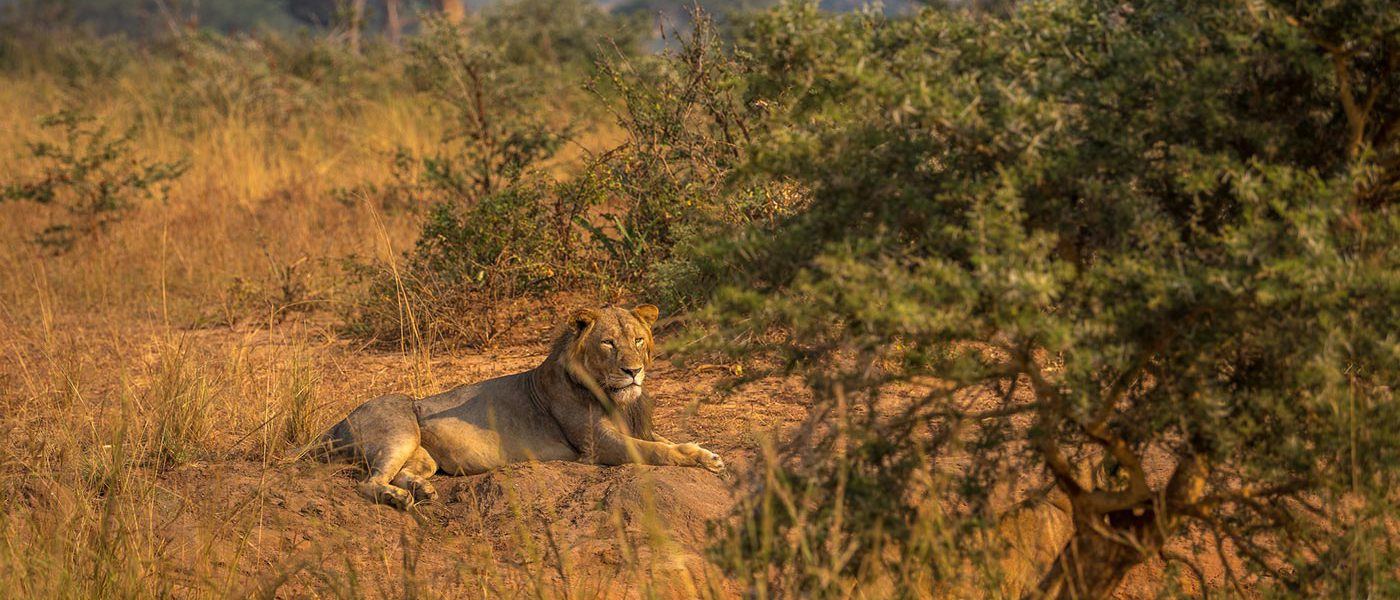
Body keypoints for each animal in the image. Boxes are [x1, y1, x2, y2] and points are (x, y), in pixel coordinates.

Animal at [311, 304, 725, 508]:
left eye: (639, 340)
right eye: (608, 343)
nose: (633, 371)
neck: (616, 397)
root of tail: (338, 422)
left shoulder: (635, 428)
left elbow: (667, 441)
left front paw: (706, 453)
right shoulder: (599, 445)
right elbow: (658, 452)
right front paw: (700, 460)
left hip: (423, 456)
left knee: (402, 474)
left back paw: (423, 492)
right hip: (398, 432)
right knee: (368, 483)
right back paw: (397, 498)